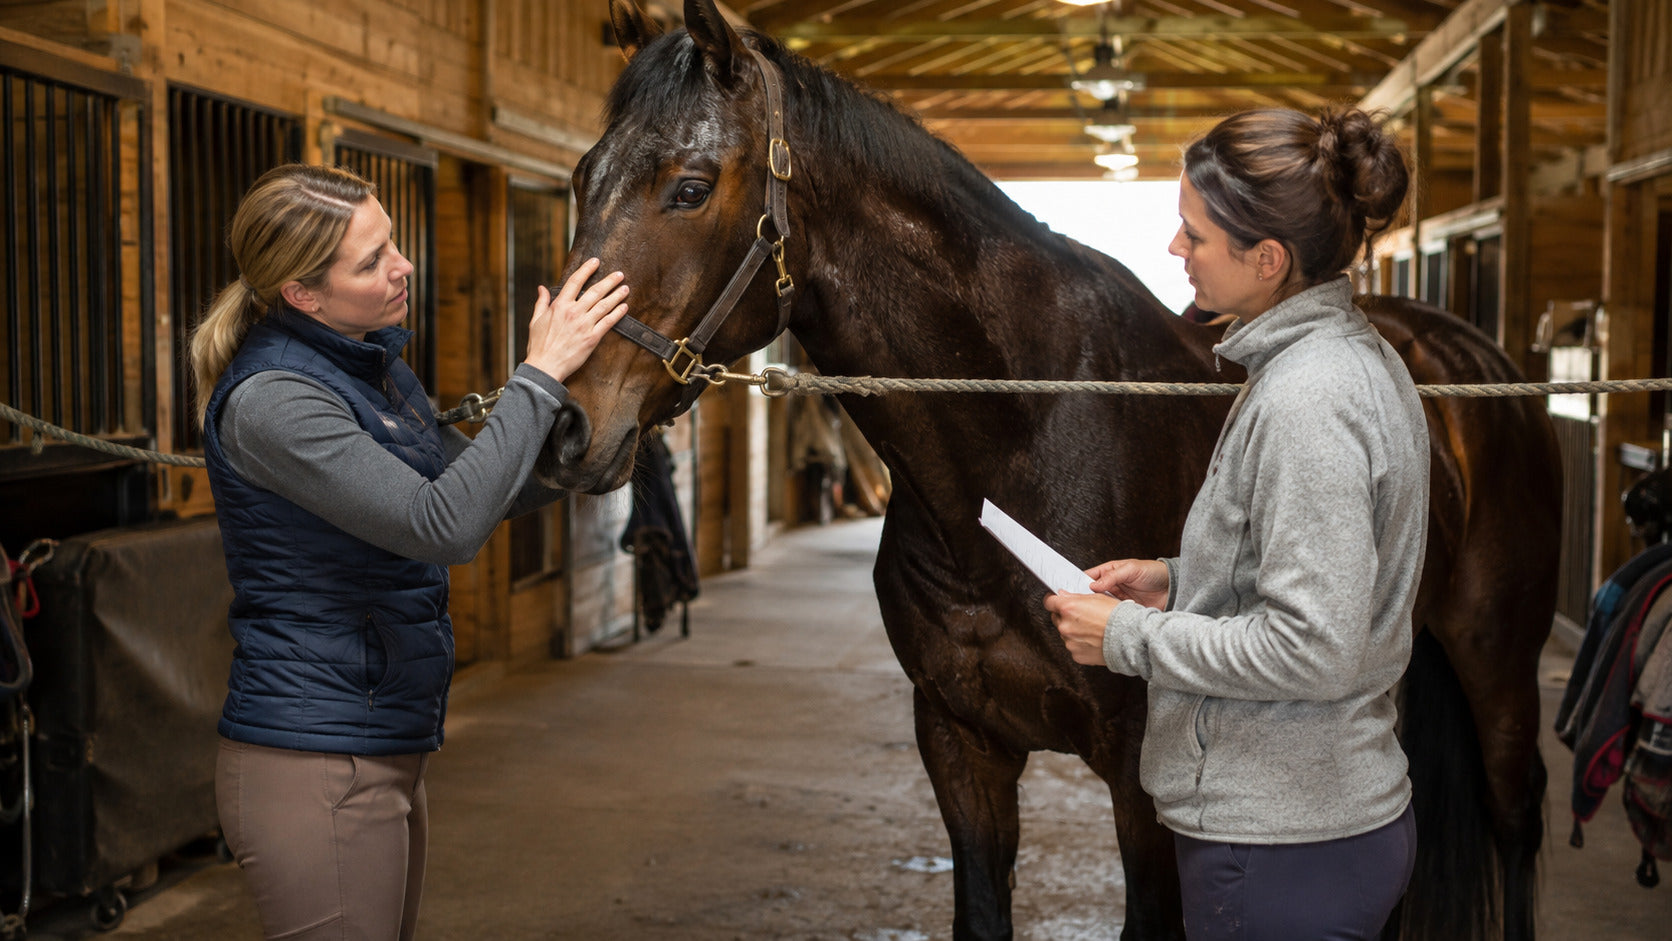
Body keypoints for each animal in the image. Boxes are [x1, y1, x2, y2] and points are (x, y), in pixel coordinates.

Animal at [540, 2, 1562, 938]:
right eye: (585, 177)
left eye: (690, 186)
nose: (562, 418)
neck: (1021, 431)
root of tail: (1464, 350)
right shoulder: (962, 747)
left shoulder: (1142, 778)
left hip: (1497, 663)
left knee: (1516, 816)